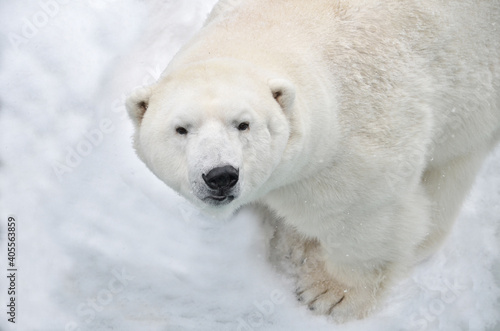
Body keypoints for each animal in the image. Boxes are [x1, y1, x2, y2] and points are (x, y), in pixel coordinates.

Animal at [127, 0, 500, 322]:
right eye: (181, 129)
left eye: (243, 124)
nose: (220, 175)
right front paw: (296, 241)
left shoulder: (364, 139)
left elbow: (368, 218)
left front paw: (331, 293)